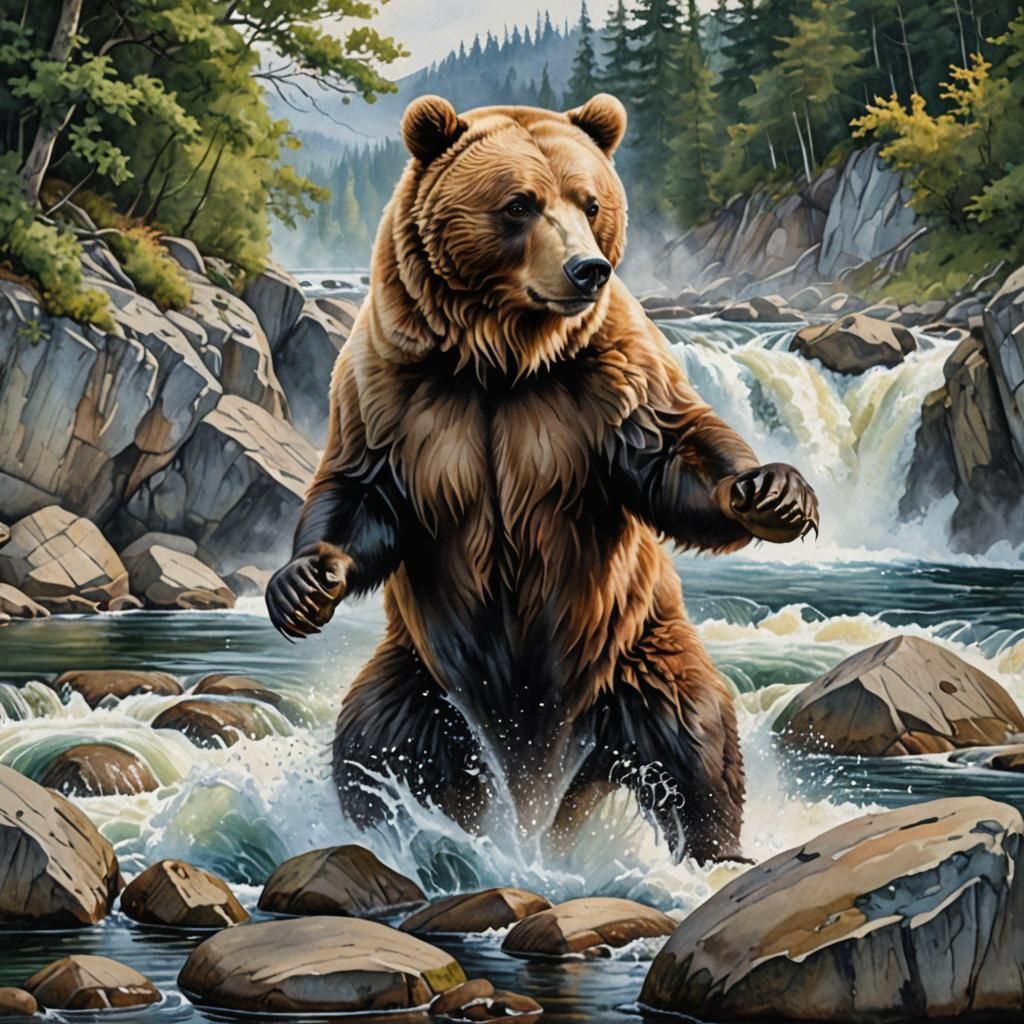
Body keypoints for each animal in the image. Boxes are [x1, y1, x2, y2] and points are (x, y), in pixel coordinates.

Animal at [267, 94, 819, 864]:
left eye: (590, 202)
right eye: (519, 204)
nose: (589, 269)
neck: (502, 357)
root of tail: (547, 790)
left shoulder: (606, 377)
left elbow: (668, 450)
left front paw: (772, 491)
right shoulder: (396, 391)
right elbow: (361, 492)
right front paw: (303, 585)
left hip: (634, 655)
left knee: (695, 740)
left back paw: (715, 847)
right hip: (423, 681)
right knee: (375, 745)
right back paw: (387, 829)